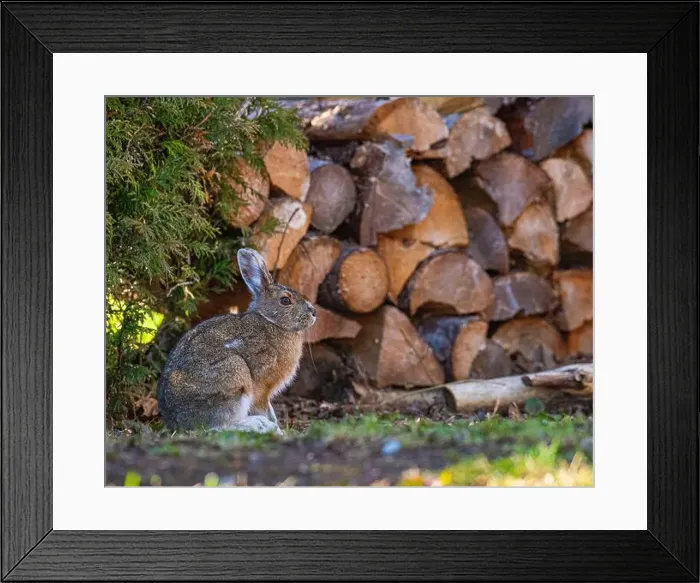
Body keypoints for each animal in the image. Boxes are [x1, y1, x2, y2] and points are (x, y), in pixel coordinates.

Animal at [157, 248, 317, 434]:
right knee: (218, 427)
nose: (313, 312)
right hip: (235, 375)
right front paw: (278, 430)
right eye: (285, 300)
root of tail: (177, 421)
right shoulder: (262, 387)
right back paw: (258, 425)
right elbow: (265, 408)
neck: (271, 321)